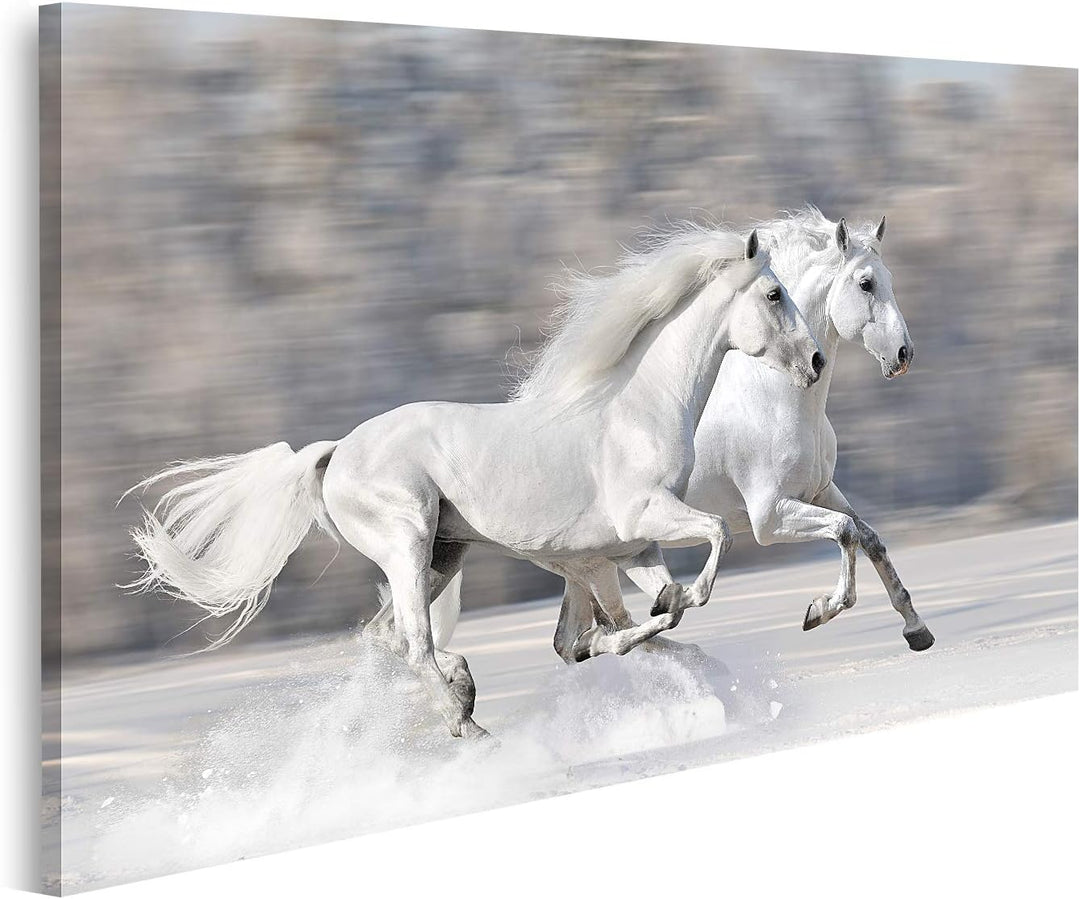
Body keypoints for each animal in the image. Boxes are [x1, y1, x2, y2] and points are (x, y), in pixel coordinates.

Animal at [126, 224, 825, 738]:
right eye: (773, 294)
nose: (816, 360)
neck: (636, 409)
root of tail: (335, 454)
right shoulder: (640, 523)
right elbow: (711, 545)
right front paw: (669, 612)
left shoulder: (630, 549)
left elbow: (642, 618)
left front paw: (670, 628)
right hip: (408, 545)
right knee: (412, 644)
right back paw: (467, 721)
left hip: (444, 554)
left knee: (387, 638)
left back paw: (463, 698)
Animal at [431, 208, 935, 668]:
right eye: (866, 283)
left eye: (888, 279)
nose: (903, 355)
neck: (776, 398)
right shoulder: (770, 517)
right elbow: (845, 532)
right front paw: (820, 610)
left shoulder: (821, 490)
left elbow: (868, 537)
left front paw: (917, 630)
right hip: (594, 561)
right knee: (598, 631)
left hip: (587, 563)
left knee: (576, 639)